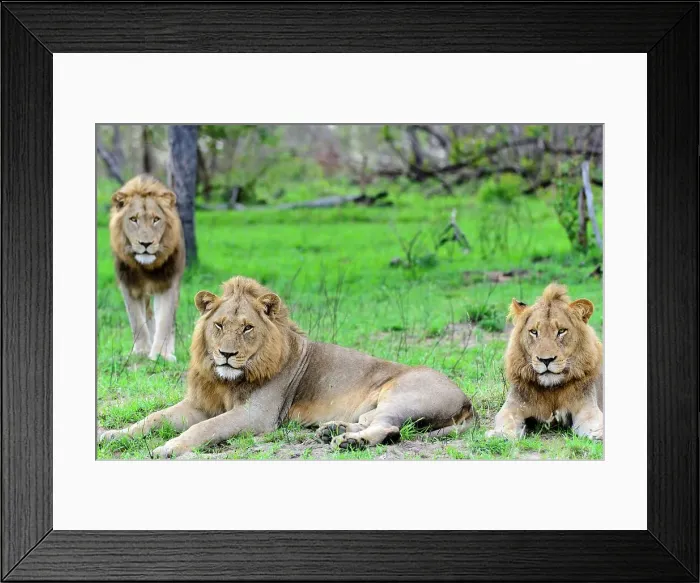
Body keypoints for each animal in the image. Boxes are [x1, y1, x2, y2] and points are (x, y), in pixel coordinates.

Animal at [99, 276, 475, 458]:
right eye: (218, 325)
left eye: (247, 328)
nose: (225, 354)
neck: (227, 380)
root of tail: (466, 400)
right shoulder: (200, 404)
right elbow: (152, 418)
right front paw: (110, 435)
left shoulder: (257, 415)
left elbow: (204, 429)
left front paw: (167, 448)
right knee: (375, 423)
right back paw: (333, 430)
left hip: (401, 395)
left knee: (388, 427)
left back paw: (348, 443)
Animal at [109, 174, 185, 361]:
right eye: (133, 219)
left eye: (156, 219)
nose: (145, 244)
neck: (145, 267)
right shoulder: (129, 286)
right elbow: (137, 321)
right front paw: (142, 352)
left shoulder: (167, 285)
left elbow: (164, 321)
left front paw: (161, 355)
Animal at [486, 283, 603, 440]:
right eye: (534, 332)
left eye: (561, 331)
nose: (546, 360)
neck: (551, 391)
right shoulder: (513, 406)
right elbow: (506, 419)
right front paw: (501, 434)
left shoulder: (586, 406)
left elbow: (593, 420)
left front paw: (599, 432)